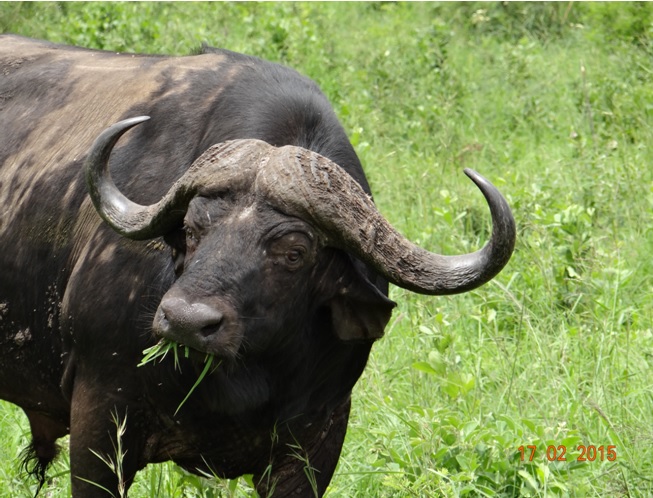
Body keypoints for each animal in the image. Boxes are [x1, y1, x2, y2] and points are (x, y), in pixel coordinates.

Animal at [0, 34, 516, 494]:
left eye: (294, 253)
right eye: (192, 230)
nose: (185, 321)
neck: (244, 377)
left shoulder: (318, 440)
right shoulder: (101, 418)